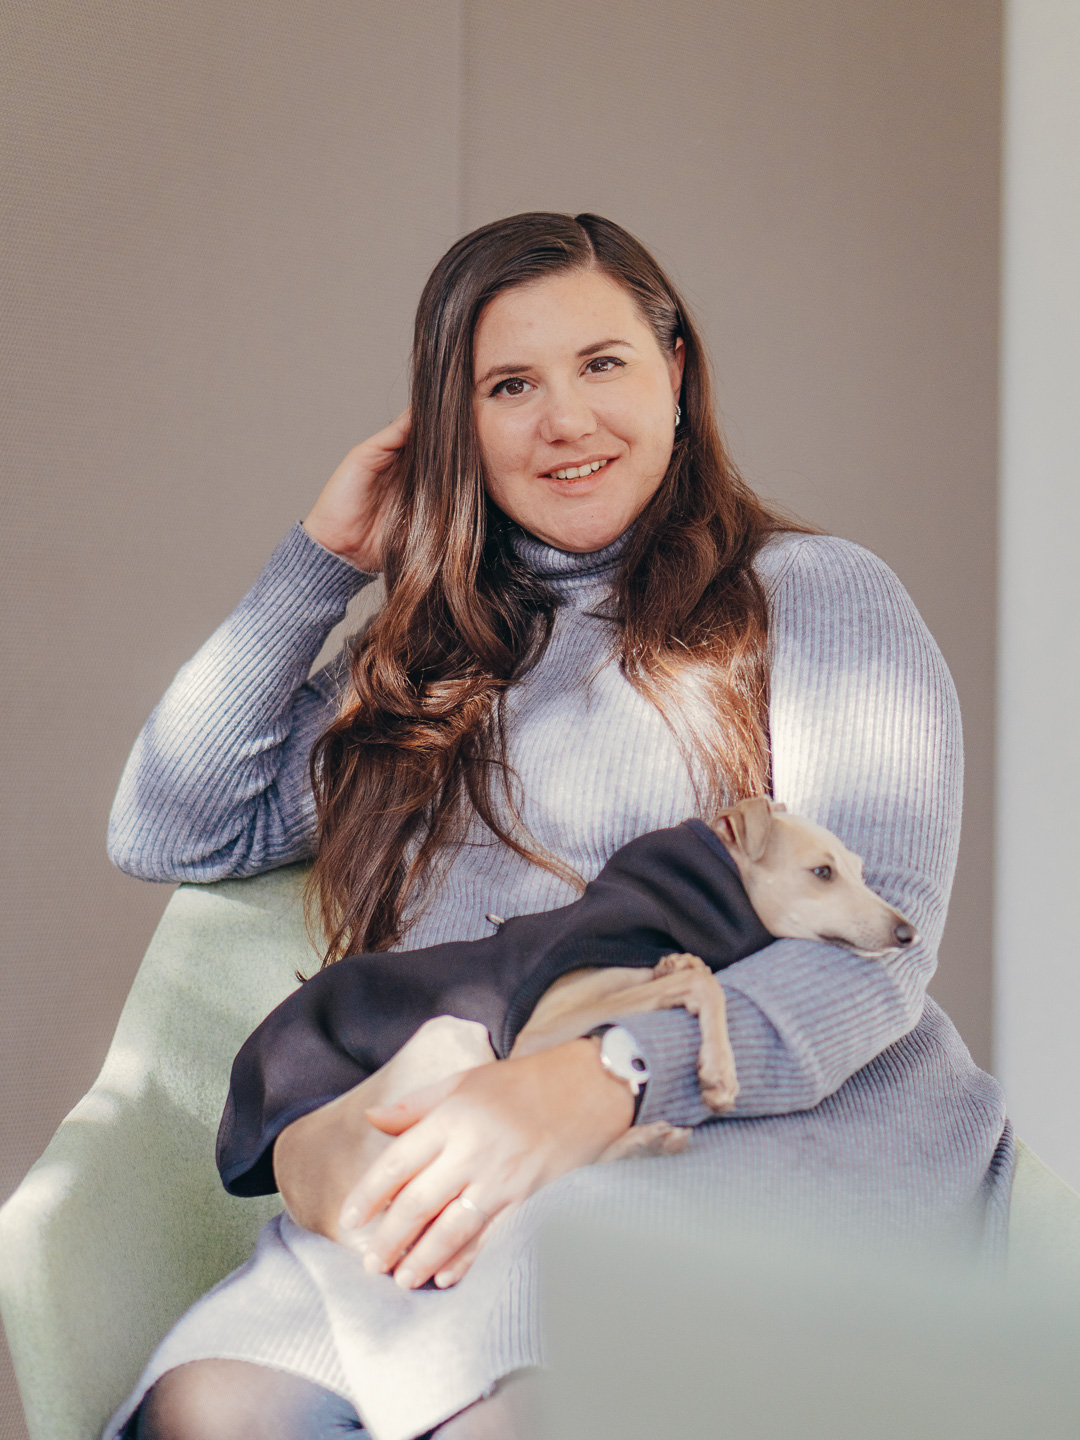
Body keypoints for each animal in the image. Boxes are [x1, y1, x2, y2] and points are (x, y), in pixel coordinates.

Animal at [257, 798, 917, 1244]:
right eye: (821, 873)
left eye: (860, 870)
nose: (908, 933)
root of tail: (326, 1215)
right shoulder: (534, 1034)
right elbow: (704, 978)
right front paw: (719, 1073)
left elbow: (695, 975)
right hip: (451, 1041)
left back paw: (645, 1139)